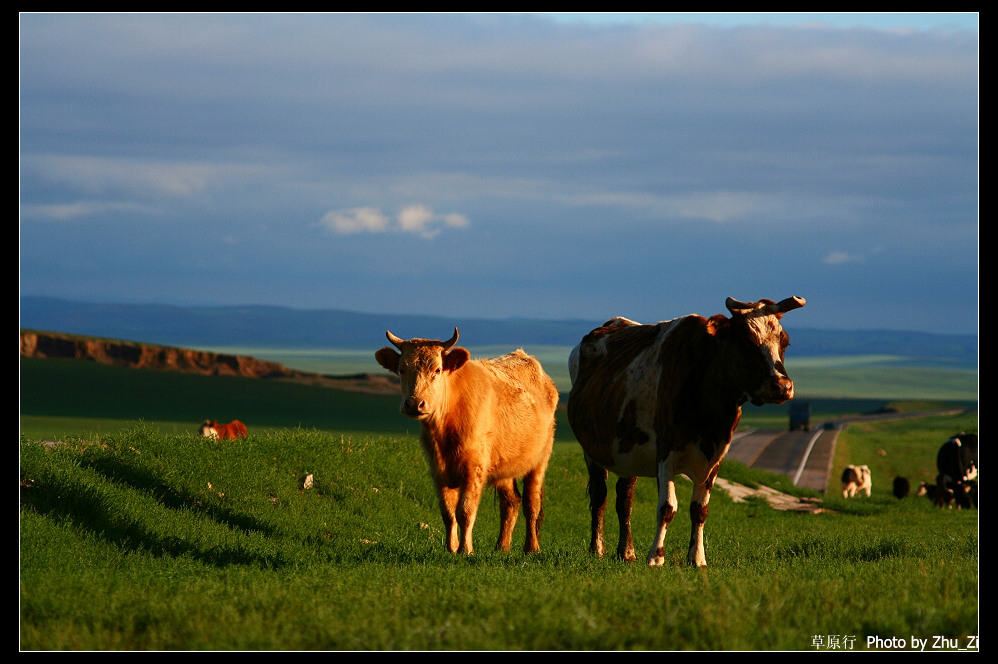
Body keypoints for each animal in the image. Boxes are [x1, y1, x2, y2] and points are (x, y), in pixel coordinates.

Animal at [376, 328, 564, 556]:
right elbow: (448, 513)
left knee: (531, 503)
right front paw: (451, 548)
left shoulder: (473, 468)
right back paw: (501, 548)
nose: (414, 403)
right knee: (511, 502)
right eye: (402, 369)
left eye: (437, 370)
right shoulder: (438, 471)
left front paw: (465, 549)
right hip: (505, 467)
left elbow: (465, 510)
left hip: (539, 461)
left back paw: (531, 548)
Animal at [568, 298, 808, 568]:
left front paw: (697, 557)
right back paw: (597, 549)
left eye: (784, 342)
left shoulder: (715, 458)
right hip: (593, 450)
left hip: (627, 450)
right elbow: (667, 507)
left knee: (625, 498)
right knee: (600, 494)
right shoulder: (666, 452)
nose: (783, 386)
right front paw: (656, 556)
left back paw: (626, 552)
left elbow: (699, 510)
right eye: (747, 342)